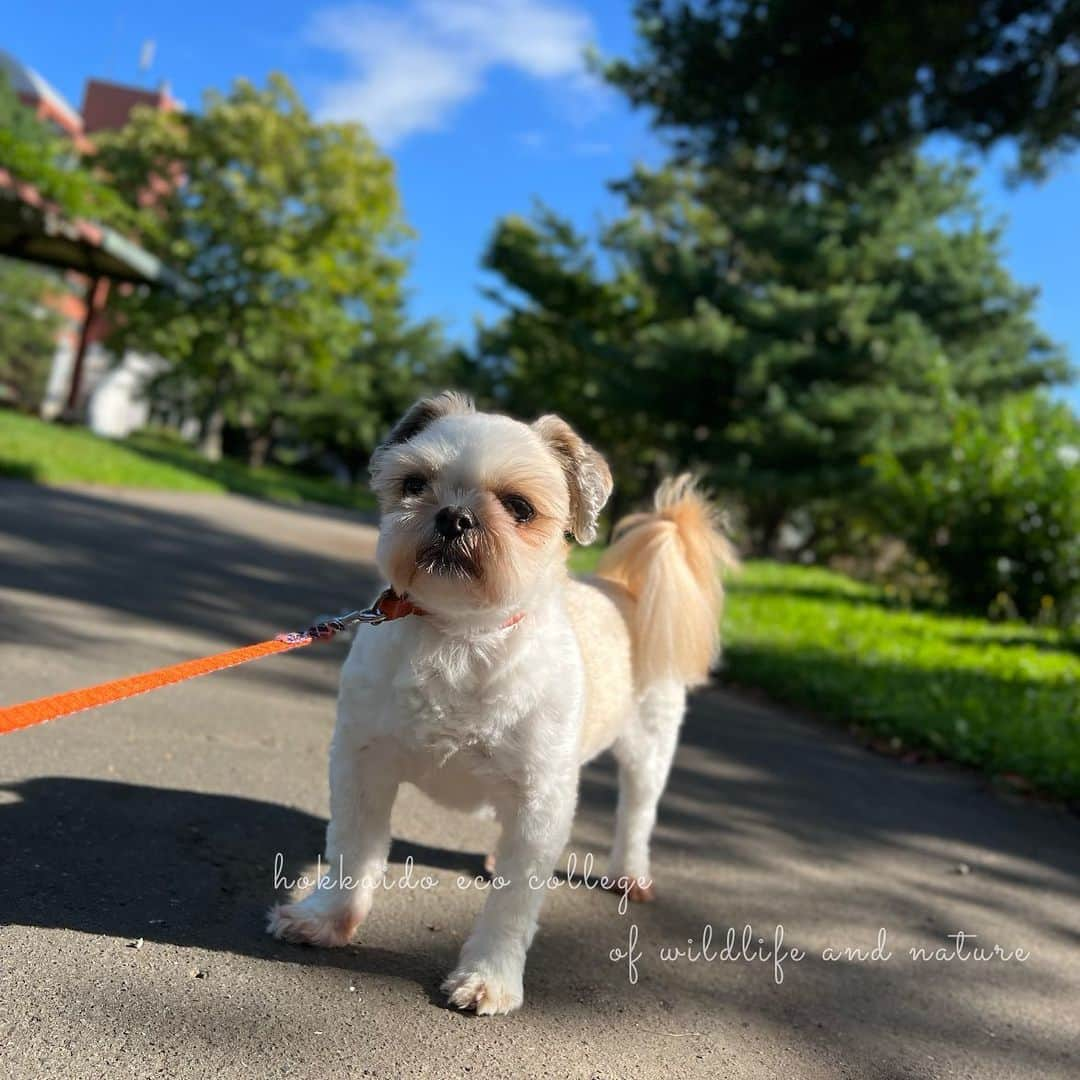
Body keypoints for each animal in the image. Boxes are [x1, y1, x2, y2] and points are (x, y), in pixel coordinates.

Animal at [268, 390, 738, 1010]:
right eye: (413, 484)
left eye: (519, 507)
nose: (453, 515)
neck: (461, 635)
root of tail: (624, 591)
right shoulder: (362, 763)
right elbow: (352, 850)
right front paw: (325, 918)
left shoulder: (541, 800)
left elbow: (514, 903)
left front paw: (490, 976)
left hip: (649, 746)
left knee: (637, 812)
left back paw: (629, 873)